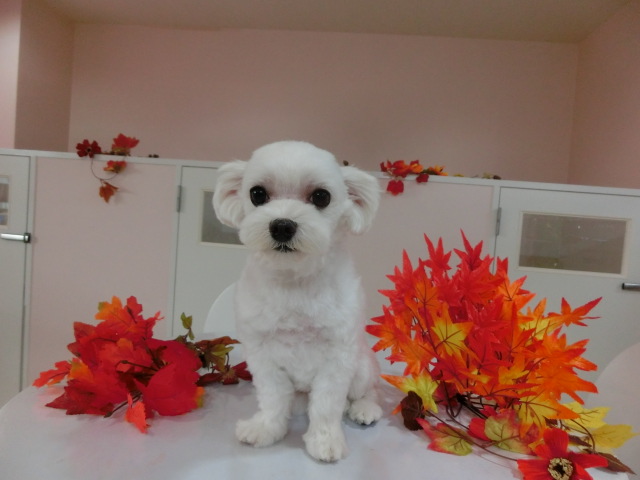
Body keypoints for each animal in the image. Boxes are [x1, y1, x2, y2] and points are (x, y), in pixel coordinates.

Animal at [212, 141, 382, 462]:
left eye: (321, 196)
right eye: (257, 193)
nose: (282, 226)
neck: (294, 282)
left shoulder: (337, 357)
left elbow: (327, 404)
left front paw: (325, 441)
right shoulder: (263, 355)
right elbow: (273, 398)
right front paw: (267, 428)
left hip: (362, 368)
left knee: (364, 392)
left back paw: (365, 408)